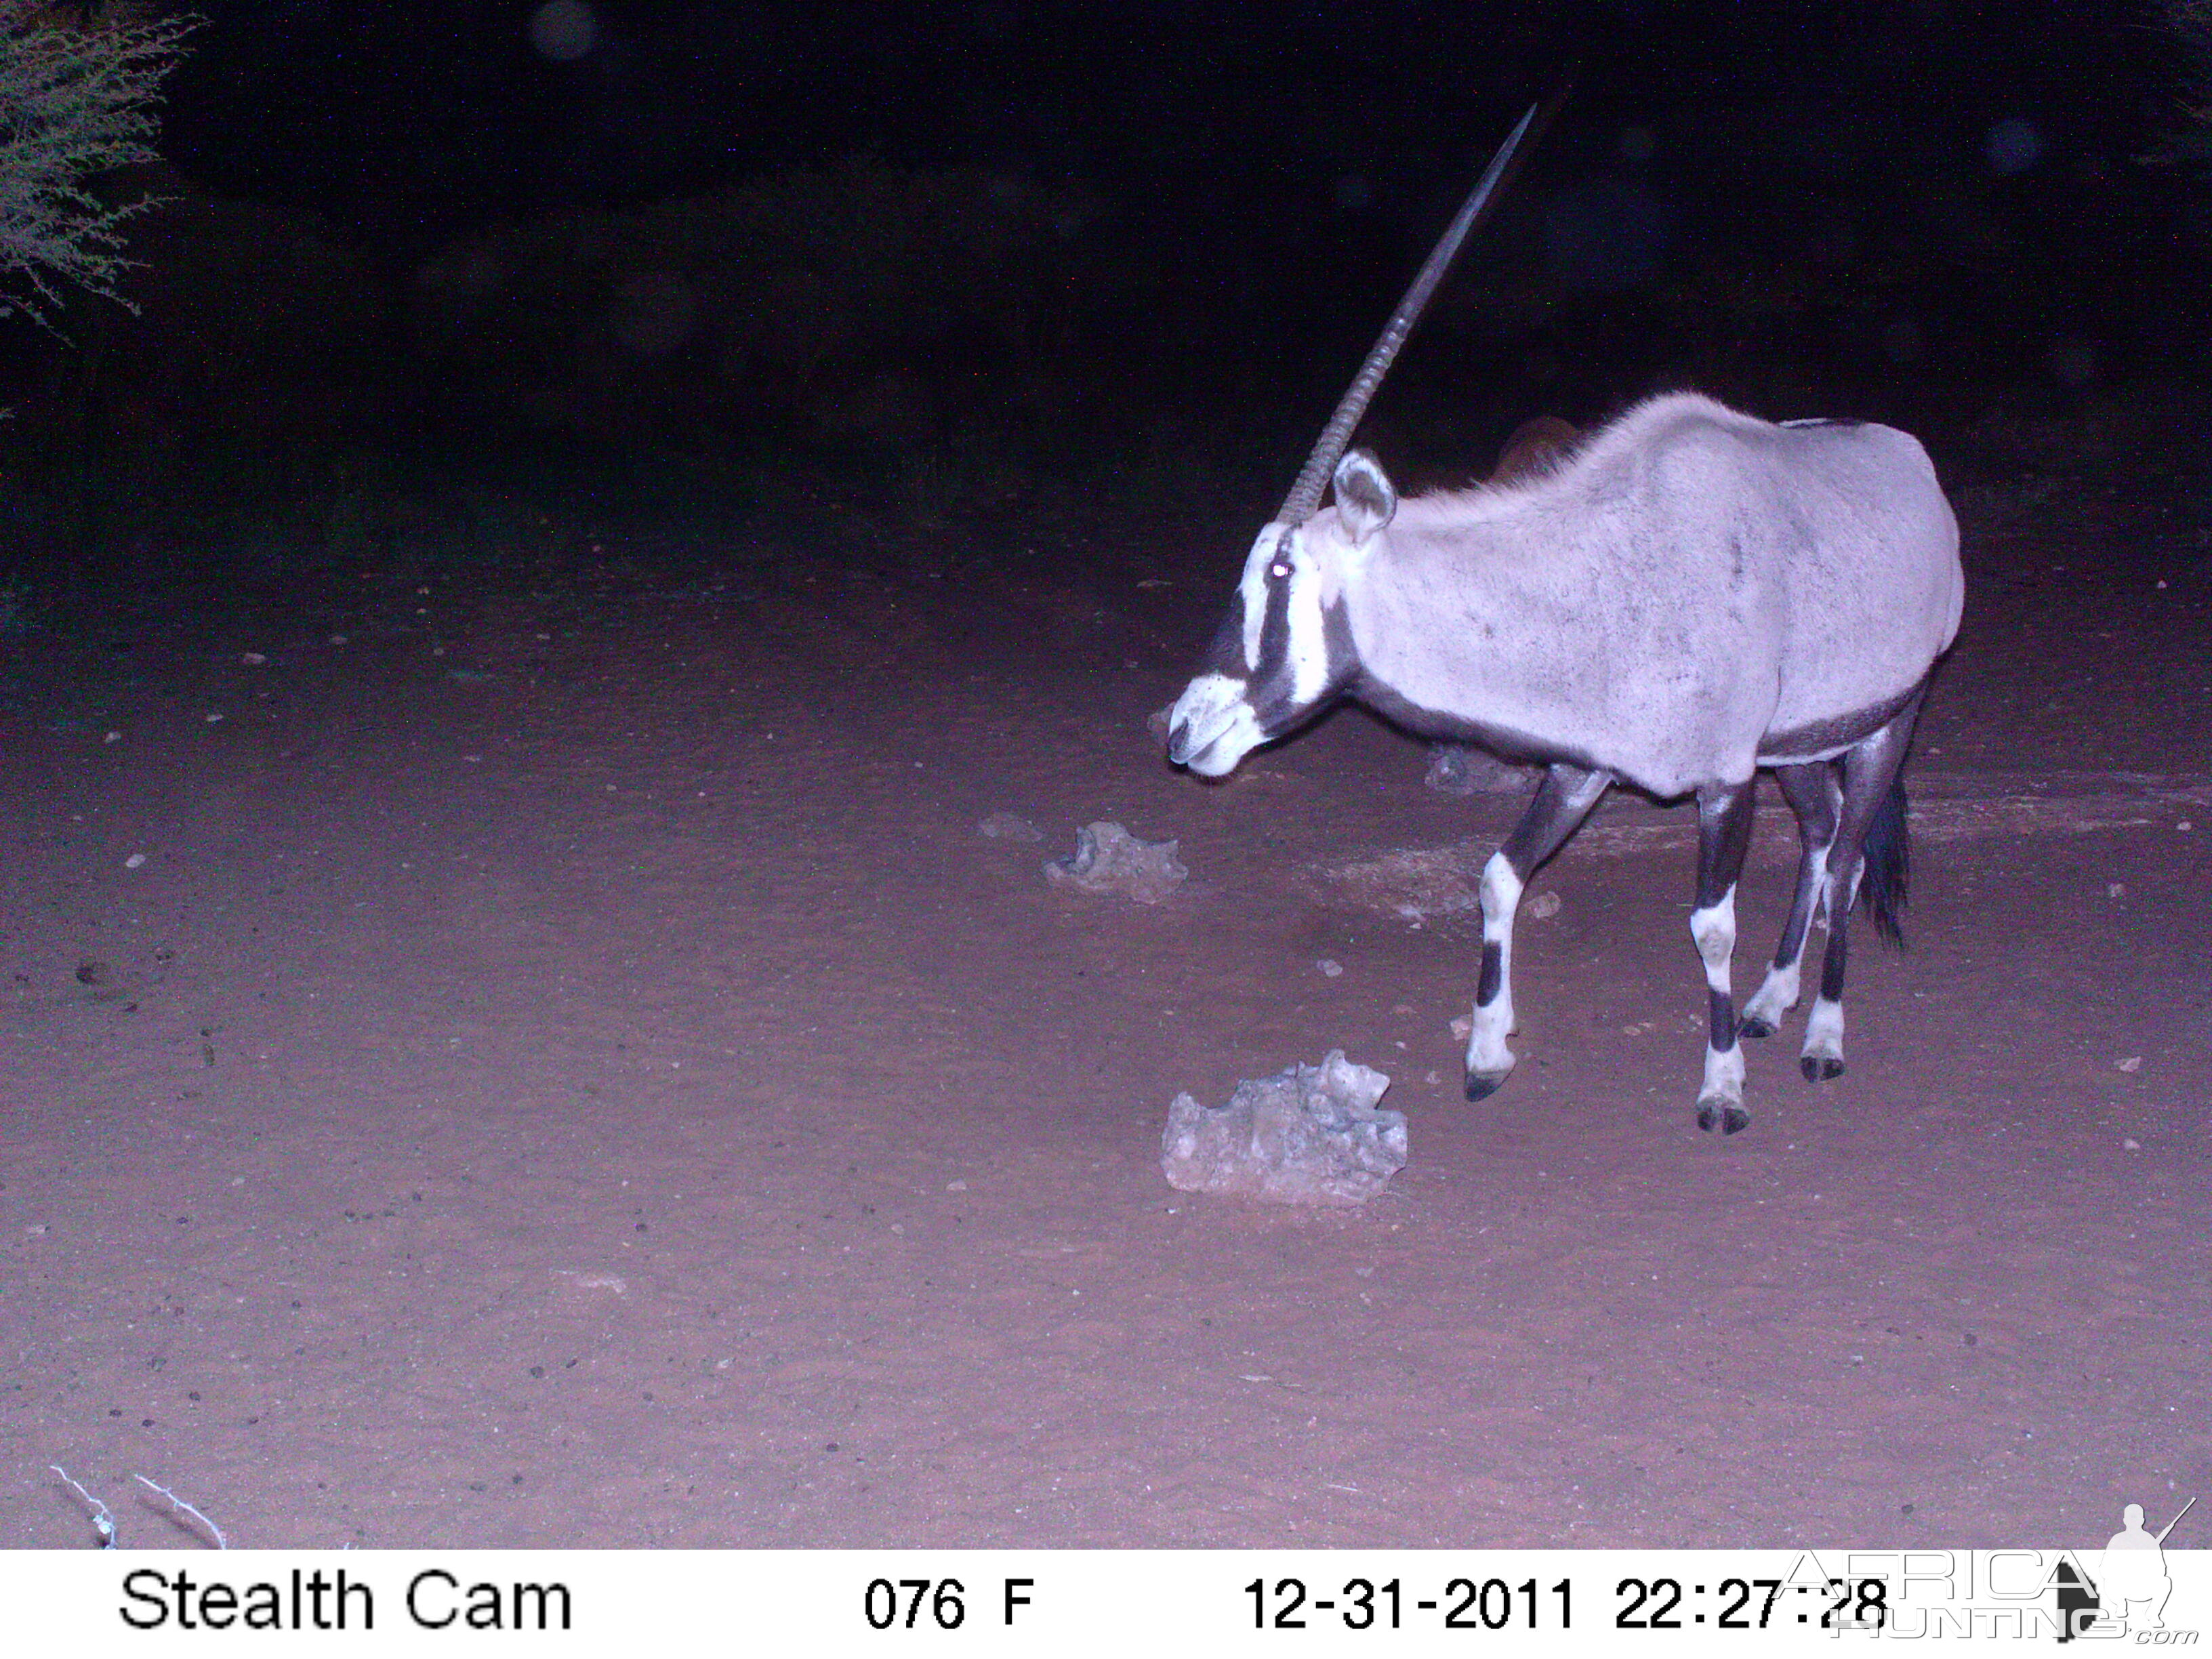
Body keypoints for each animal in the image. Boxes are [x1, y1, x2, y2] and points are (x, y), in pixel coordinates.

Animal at [1168, 110, 1964, 1141]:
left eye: (1279, 572)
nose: (1184, 731)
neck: (1606, 570)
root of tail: (1914, 466)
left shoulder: (1723, 781)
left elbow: (1711, 926)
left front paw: (1721, 1089)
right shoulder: (1586, 768)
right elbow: (1499, 876)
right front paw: (1486, 1053)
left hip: (1887, 724)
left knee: (1852, 860)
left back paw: (1822, 1034)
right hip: (1797, 750)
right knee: (1825, 836)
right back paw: (1770, 1002)